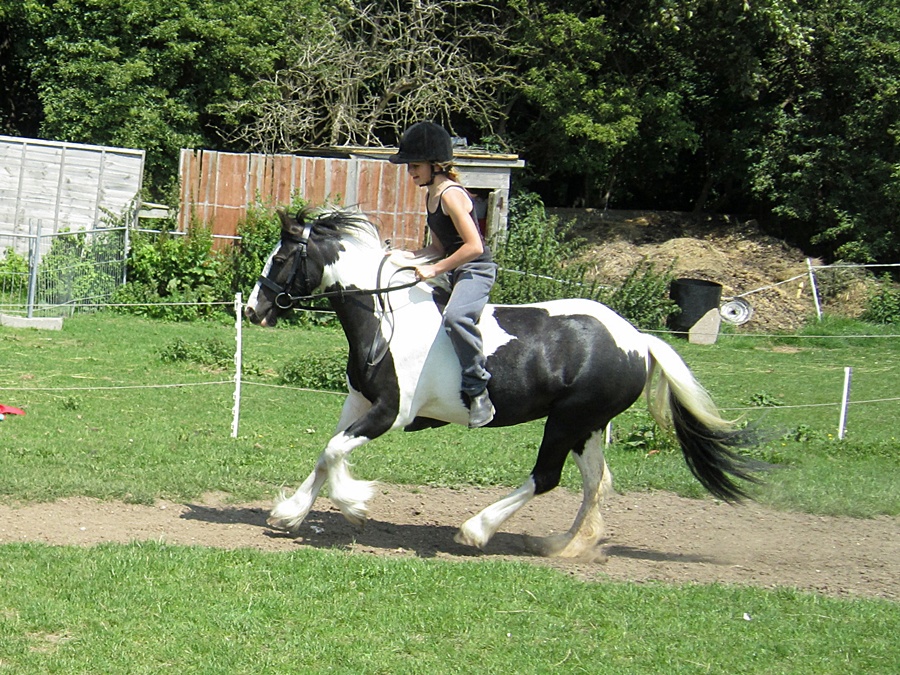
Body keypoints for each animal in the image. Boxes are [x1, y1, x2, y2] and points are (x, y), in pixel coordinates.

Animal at [244, 206, 765, 558]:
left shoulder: (392, 412)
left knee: (547, 477)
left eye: (280, 259)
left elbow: (335, 453)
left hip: (567, 420)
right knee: (596, 482)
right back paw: (565, 545)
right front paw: (291, 513)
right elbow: (326, 453)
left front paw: (354, 503)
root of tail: (638, 340)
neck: (385, 317)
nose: (253, 310)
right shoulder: (358, 402)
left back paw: (476, 529)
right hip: (586, 426)